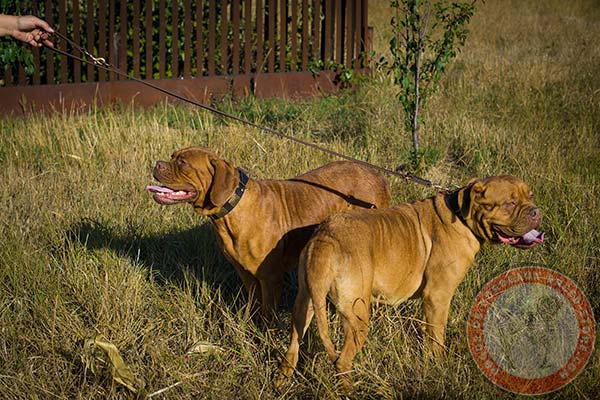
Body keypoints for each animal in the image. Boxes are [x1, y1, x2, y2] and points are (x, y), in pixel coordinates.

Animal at [148, 147, 392, 318]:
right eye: (172, 156)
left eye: (182, 163)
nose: (157, 164)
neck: (233, 207)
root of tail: (378, 175)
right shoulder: (246, 274)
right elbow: (255, 304)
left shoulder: (270, 277)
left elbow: (268, 313)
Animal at [276, 174, 544, 388]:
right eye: (510, 203)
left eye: (530, 195)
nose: (535, 211)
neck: (461, 215)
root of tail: (325, 240)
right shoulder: (437, 298)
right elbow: (436, 339)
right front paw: (439, 366)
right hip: (356, 316)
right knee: (342, 361)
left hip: (307, 304)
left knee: (293, 345)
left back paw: (282, 381)